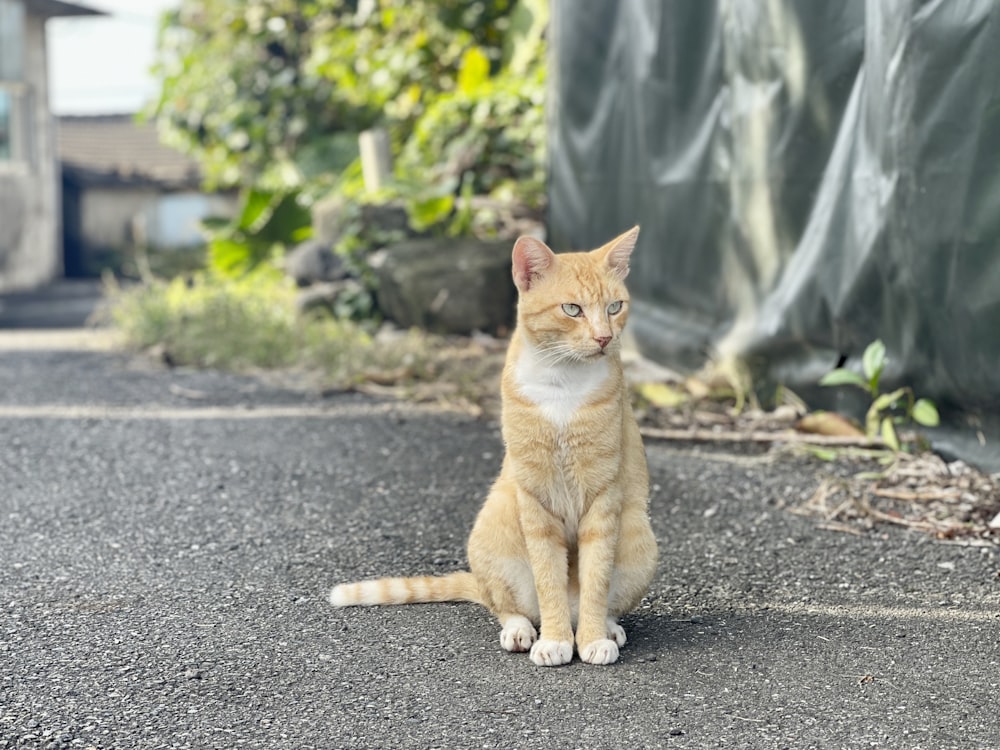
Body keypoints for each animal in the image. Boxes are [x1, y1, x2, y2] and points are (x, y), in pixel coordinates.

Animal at [328, 226, 656, 668]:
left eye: (615, 307)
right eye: (572, 310)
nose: (605, 338)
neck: (563, 383)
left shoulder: (604, 496)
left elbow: (596, 579)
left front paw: (589, 639)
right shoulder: (535, 498)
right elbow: (547, 580)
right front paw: (555, 640)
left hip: (639, 536)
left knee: (603, 602)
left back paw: (605, 627)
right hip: (494, 524)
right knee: (508, 605)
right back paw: (522, 631)